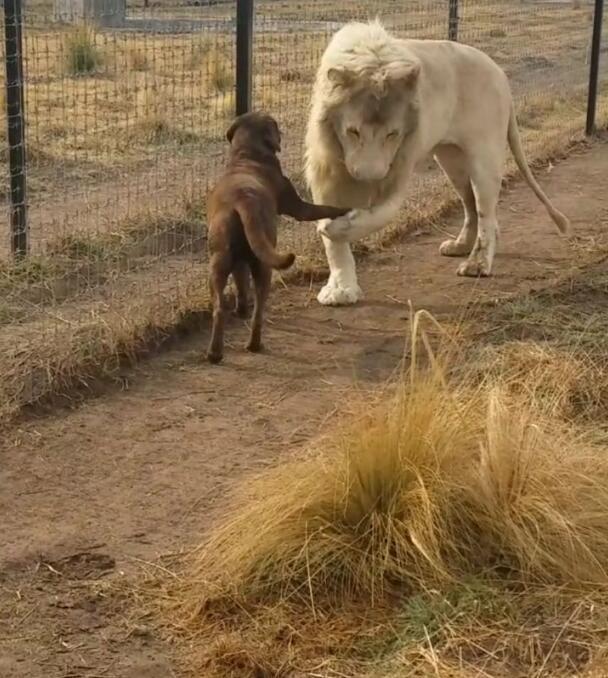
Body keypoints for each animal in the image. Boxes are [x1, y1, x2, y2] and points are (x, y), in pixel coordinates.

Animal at [205, 113, 346, 364]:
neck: (247, 155)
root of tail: (243, 201)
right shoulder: (299, 208)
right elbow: (324, 208)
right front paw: (345, 209)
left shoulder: (239, 263)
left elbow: (241, 286)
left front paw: (240, 310)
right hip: (264, 266)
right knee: (259, 310)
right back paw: (254, 344)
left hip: (219, 262)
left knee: (220, 307)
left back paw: (215, 352)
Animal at [304, 19, 568, 306]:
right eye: (353, 132)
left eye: (392, 134)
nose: (369, 176)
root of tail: (500, 73)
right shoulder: (328, 169)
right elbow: (335, 246)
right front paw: (341, 289)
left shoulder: (398, 167)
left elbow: (377, 216)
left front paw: (335, 228)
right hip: (452, 161)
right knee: (471, 206)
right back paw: (460, 246)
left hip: (484, 158)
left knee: (486, 212)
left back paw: (477, 264)